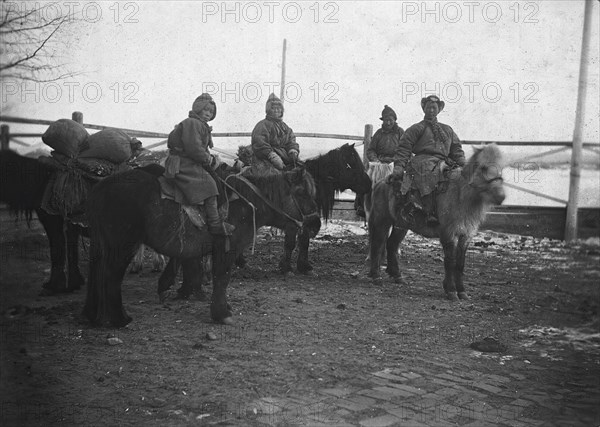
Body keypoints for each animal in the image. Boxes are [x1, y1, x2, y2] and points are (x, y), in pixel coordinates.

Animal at [82, 165, 322, 328]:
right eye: (301, 193)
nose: (315, 224)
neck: (246, 203)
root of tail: (100, 188)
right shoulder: (226, 249)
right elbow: (222, 278)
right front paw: (221, 312)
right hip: (122, 246)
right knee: (110, 275)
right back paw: (119, 318)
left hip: (101, 245)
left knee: (97, 273)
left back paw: (93, 315)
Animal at [368, 145, 504, 300]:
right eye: (483, 167)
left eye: (501, 167)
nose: (501, 196)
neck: (460, 195)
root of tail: (380, 184)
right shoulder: (448, 234)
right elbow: (450, 261)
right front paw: (451, 290)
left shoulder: (465, 236)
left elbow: (460, 264)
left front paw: (462, 291)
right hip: (382, 221)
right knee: (378, 245)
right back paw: (376, 276)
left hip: (401, 225)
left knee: (391, 244)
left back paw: (397, 276)